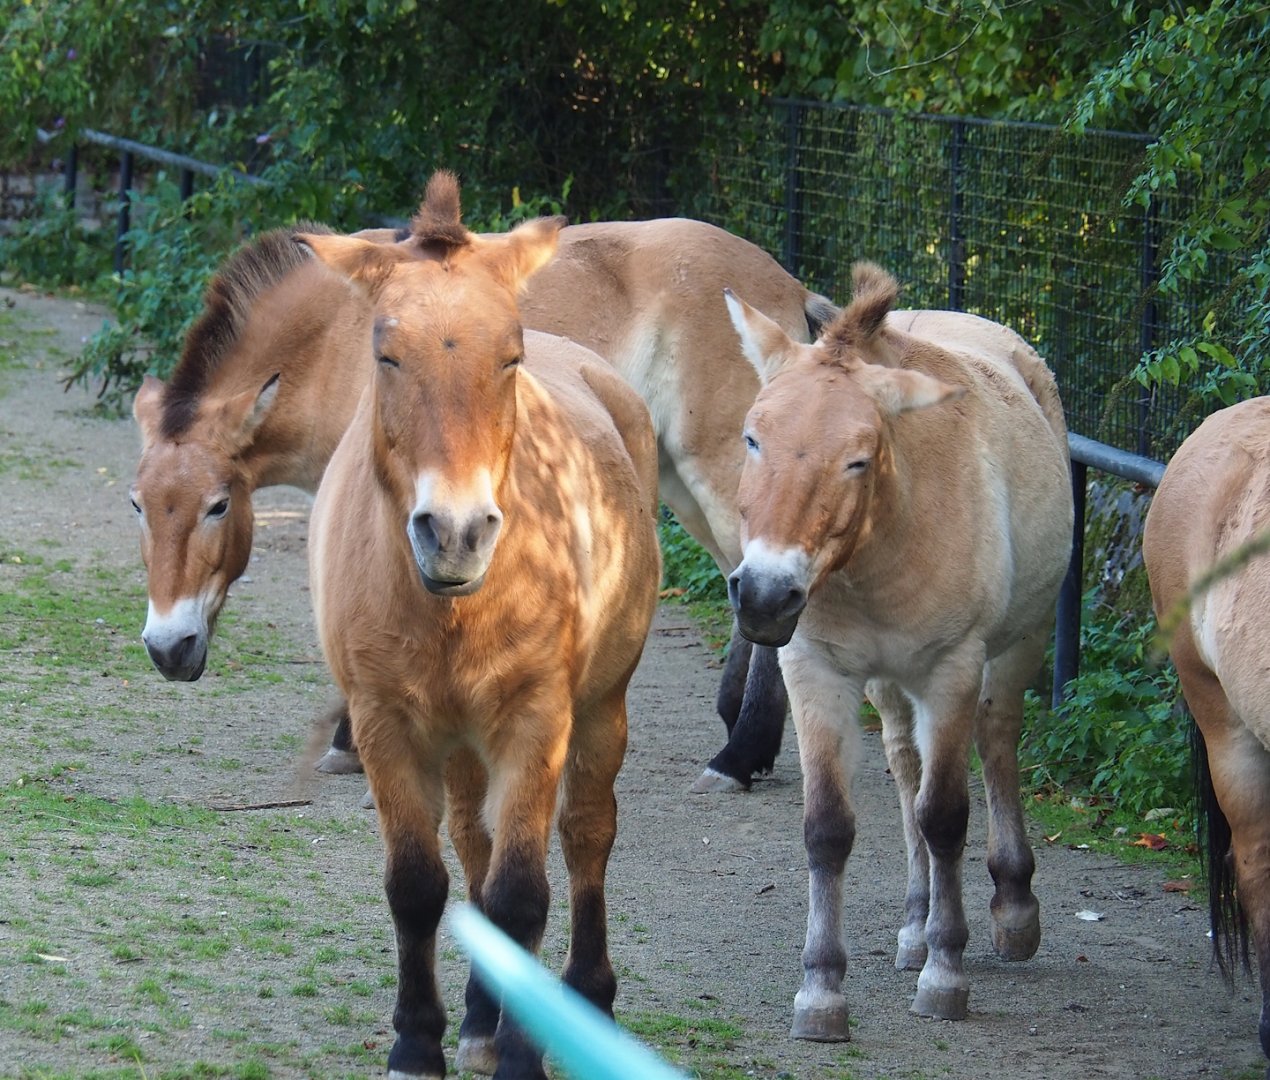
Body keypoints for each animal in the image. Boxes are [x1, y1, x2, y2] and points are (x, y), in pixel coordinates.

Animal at [297, 171, 661, 1079]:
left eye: (510, 356)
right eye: (386, 353)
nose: (455, 531)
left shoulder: (536, 722)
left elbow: (523, 893)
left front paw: (525, 1056)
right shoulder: (385, 724)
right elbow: (420, 883)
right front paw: (417, 1039)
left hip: (599, 711)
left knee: (586, 834)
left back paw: (586, 996)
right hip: (460, 743)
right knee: (473, 842)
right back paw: (481, 1011)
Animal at [722, 263, 1073, 1036]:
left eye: (857, 459)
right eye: (753, 438)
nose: (763, 594)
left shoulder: (952, 670)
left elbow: (946, 817)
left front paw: (946, 975)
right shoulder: (815, 671)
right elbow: (830, 827)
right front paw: (821, 991)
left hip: (1016, 647)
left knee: (994, 743)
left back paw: (1011, 909)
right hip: (888, 686)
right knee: (908, 769)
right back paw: (916, 924)